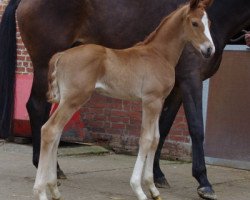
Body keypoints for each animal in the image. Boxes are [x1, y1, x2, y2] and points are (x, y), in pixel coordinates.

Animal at [0, 0, 250, 199]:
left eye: (209, 23)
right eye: (195, 23)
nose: (209, 49)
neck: (157, 53)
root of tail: (61, 56)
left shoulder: (164, 98)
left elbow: (157, 136)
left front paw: (154, 185)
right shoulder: (158, 97)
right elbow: (152, 138)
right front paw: (142, 188)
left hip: (67, 99)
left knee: (55, 131)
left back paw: (53, 186)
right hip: (69, 93)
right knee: (47, 126)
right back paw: (42, 190)